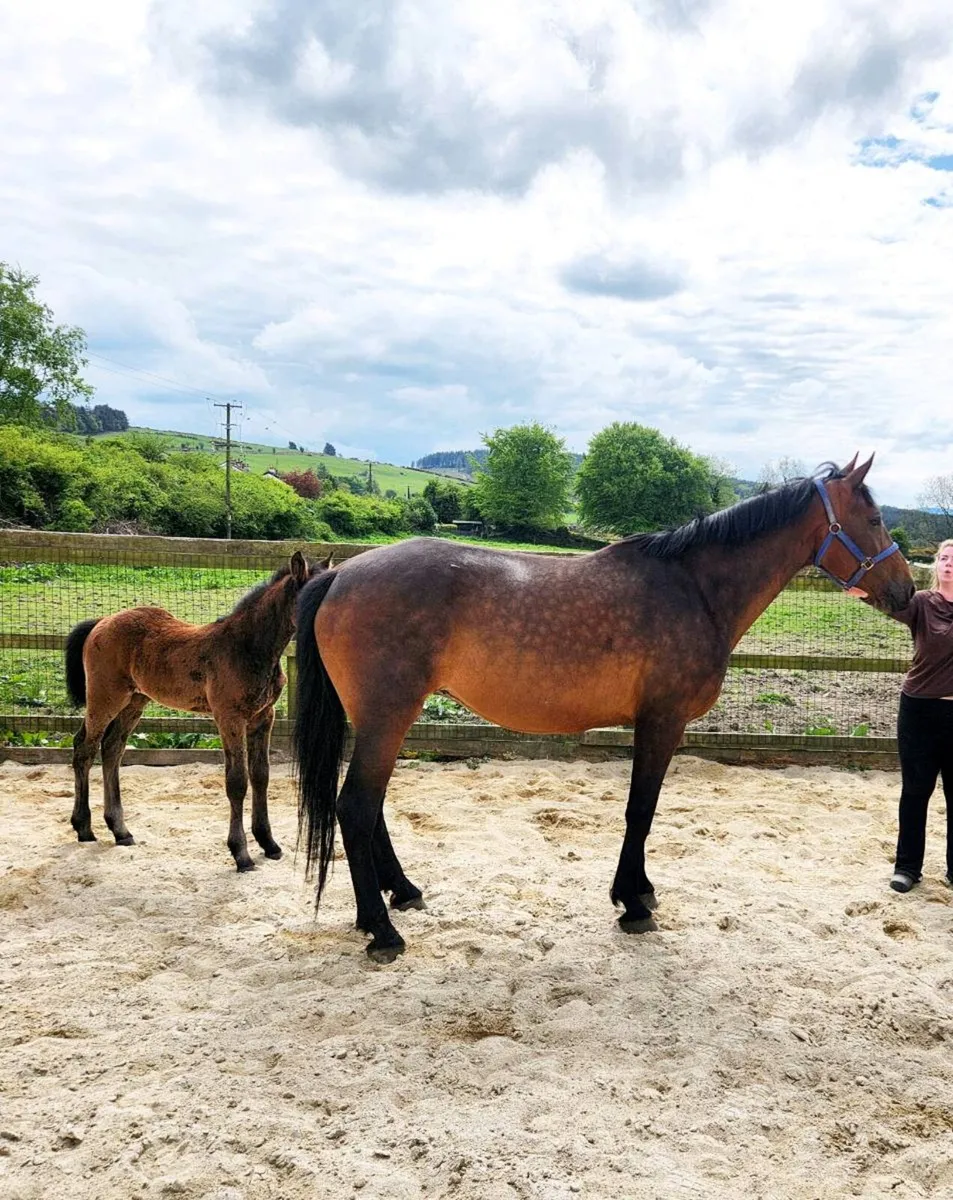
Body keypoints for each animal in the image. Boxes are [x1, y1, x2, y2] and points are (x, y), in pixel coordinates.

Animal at [65, 551, 326, 871]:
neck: (247, 647)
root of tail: (101, 621)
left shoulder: (264, 717)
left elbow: (261, 776)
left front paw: (269, 843)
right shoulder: (229, 717)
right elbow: (237, 781)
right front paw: (241, 854)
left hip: (135, 701)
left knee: (112, 749)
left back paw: (120, 830)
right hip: (105, 698)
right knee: (84, 748)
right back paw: (84, 827)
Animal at [292, 456, 915, 962]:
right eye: (874, 520)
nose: (907, 592)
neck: (695, 588)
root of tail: (340, 573)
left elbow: (642, 811)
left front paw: (638, 891)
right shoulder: (661, 721)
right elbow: (641, 810)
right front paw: (632, 901)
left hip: (382, 719)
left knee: (370, 807)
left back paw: (404, 893)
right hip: (388, 715)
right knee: (356, 807)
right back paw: (381, 930)